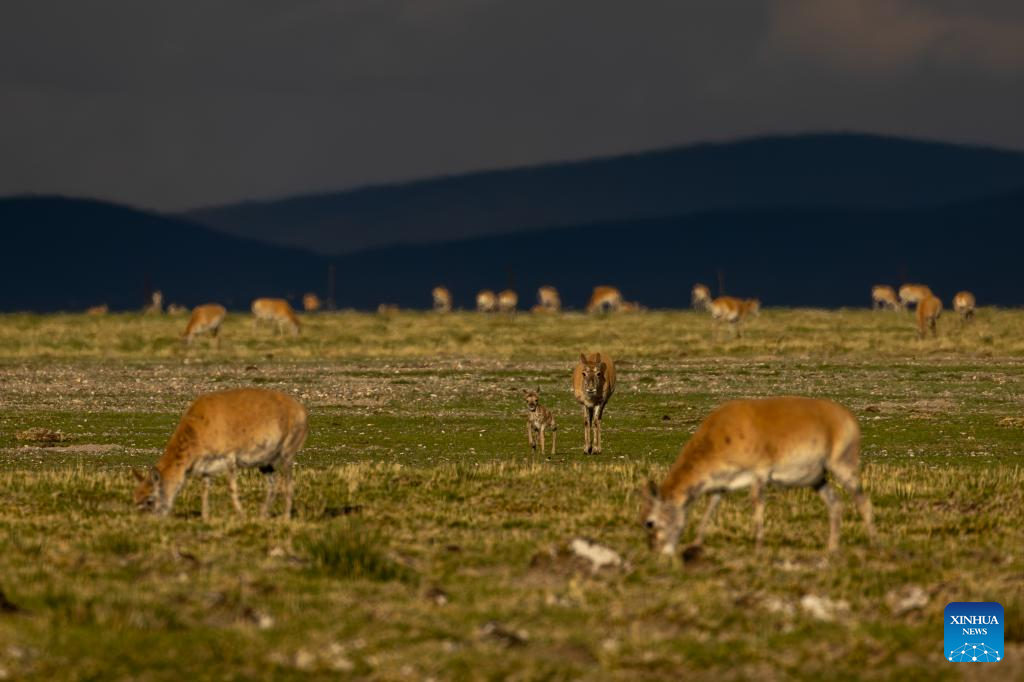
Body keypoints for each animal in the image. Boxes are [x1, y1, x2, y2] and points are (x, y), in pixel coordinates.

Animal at [132, 387, 307, 520]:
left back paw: (285, 517)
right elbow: (204, 490)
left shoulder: (230, 458)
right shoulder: (206, 468)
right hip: (265, 463)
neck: (198, 428)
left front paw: (241, 515)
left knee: (289, 484)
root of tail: (300, 410)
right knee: (273, 484)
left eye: (150, 500)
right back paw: (262, 515)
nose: (146, 522)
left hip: (286, 456)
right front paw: (205, 517)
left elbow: (232, 487)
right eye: (136, 498)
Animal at [638, 393, 872, 557]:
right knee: (836, 503)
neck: (719, 435)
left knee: (863, 500)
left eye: (650, 522)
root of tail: (849, 418)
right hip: (817, 479)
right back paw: (832, 548)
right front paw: (696, 543)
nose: (656, 552)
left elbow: (757, 504)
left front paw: (758, 547)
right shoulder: (721, 484)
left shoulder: (760, 473)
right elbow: (710, 508)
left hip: (842, 465)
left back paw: (874, 544)